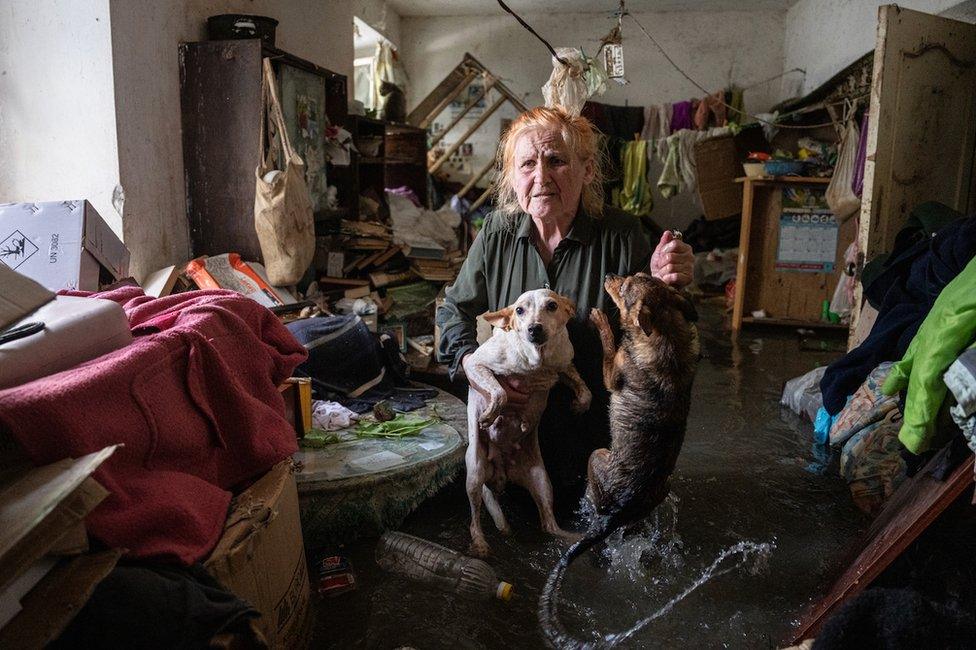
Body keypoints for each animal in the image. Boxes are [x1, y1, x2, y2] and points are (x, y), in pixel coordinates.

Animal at [464, 288, 592, 556]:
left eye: (552, 306)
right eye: (519, 310)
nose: (534, 328)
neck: (537, 362)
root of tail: (501, 473)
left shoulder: (564, 365)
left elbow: (584, 389)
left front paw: (580, 405)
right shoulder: (476, 365)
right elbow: (500, 392)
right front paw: (489, 415)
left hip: (542, 481)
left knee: (548, 524)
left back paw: (572, 538)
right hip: (475, 473)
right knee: (474, 519)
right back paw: (480, 543)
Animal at [536, 270, 696, 644]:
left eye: (623, 288)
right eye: (639, 274)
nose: (610, 275)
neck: (665, 331)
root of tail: (618, 512)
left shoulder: (612, 374)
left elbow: (611, 348)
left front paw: (601, 321)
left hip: (596, 456)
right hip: (660, 491)